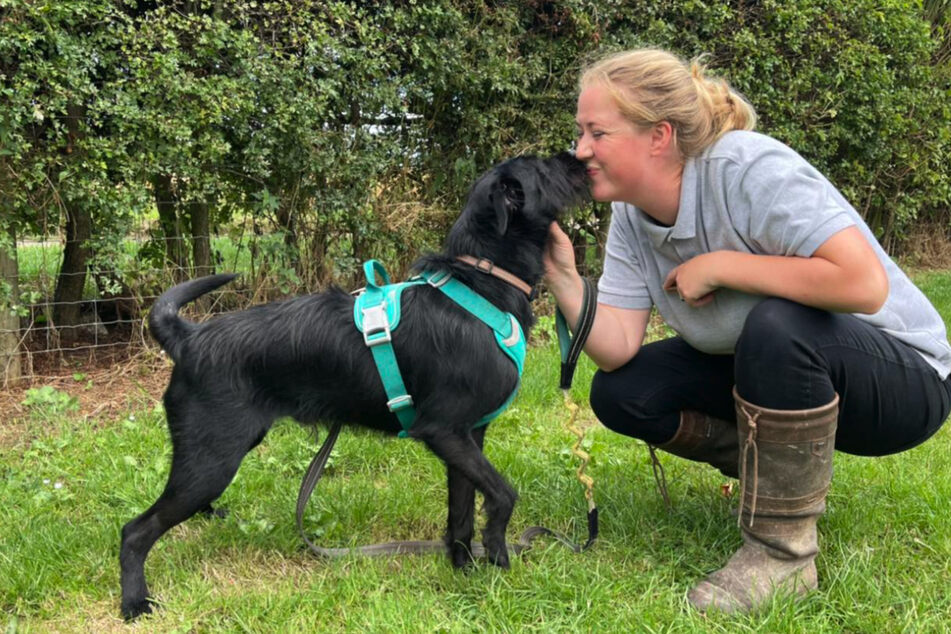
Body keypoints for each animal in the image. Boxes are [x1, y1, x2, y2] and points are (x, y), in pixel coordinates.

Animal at [121, 153, 588, 616]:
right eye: (545, 168)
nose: (578, 156)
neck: (481, 286)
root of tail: (188, 338)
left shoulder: (467, 438)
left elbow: (461, 512)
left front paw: (464, 570)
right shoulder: (444, 431)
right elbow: (504, 494)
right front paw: (498, 555)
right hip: (210, 462)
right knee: (135, 530)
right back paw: (134, 602)